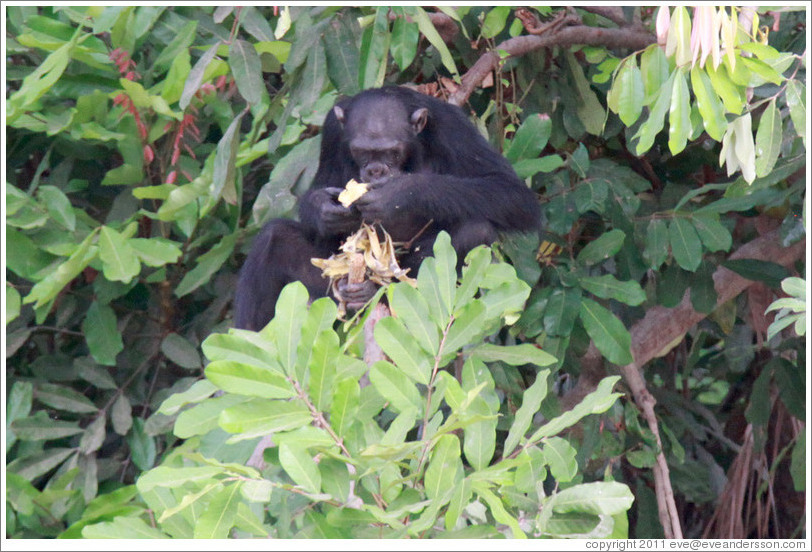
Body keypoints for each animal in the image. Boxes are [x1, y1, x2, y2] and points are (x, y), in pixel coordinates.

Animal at [233, 85, 540, 328]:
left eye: (391, 152)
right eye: (361, 152)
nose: (376, 170)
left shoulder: (453, 127)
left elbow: (510, 192)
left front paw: (396, 194)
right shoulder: (332, 132)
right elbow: (321, 187)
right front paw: (324, 209)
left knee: (476, 230)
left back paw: (370, 291)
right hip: (323, 290)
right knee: (273, 238)